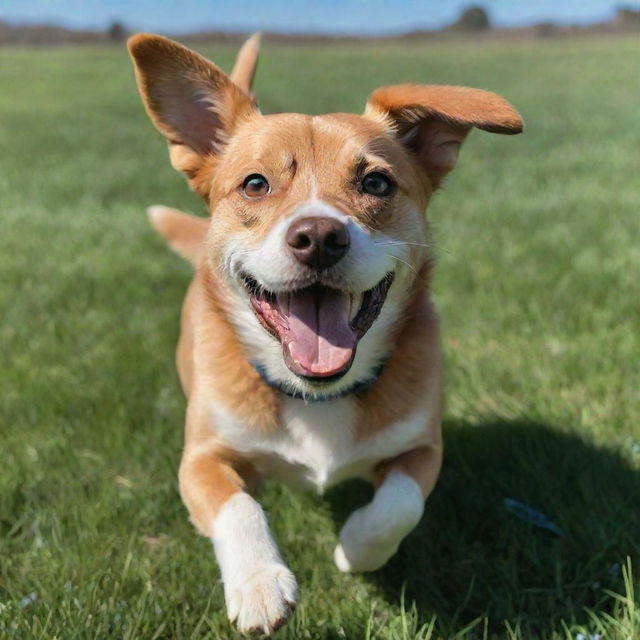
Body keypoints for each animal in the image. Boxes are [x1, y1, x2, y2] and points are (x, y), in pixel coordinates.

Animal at [127, 33, 524, 636]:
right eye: (255, 183)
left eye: (376, 181)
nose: (318, 236)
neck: (316, 393)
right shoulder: (201, 459)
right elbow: (238, 506)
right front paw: (260, 583)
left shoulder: (421, 447)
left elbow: (400, 504)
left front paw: (353, 550)